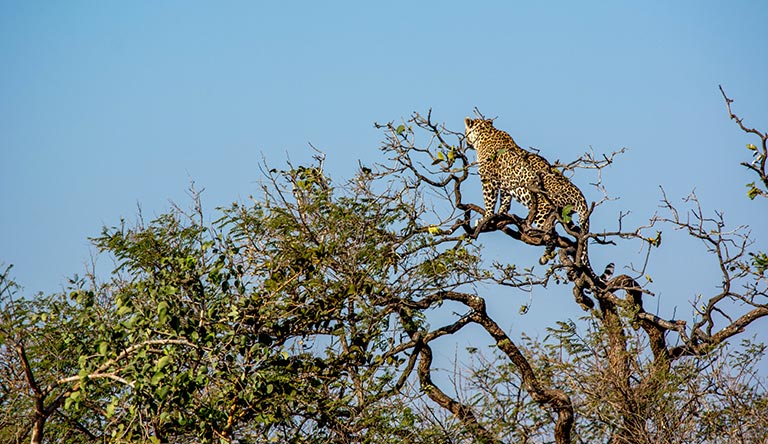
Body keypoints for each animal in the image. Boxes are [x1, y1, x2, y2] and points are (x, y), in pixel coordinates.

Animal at [464, 117, 592, 269]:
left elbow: (489, 200)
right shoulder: (506, 183)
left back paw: (545, 255)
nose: (466, 142)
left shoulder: (489, 180)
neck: (485, 134)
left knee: (552, 235)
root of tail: (578, 193)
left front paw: (487, 217)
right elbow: (505, 200)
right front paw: (500, 215)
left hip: (543, 211)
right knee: (574, 231)